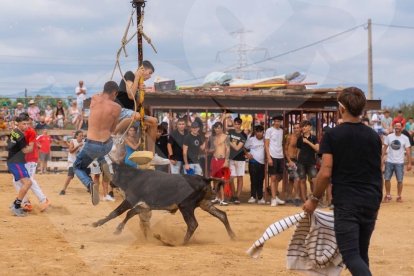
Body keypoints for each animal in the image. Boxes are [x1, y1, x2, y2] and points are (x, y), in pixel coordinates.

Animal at [93, 163, 236, 245]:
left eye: (115, 173)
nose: (111, 183)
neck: (134, 177)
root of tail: (204, 178)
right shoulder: (145, 206)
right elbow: (130, 213)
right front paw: (118, 228)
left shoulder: (130, 200)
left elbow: (117, 212)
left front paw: (98, 223)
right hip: (205, 203)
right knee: (222, 215)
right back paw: (232, 236)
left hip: (186, 206)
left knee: (193, 224)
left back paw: (180, 242)